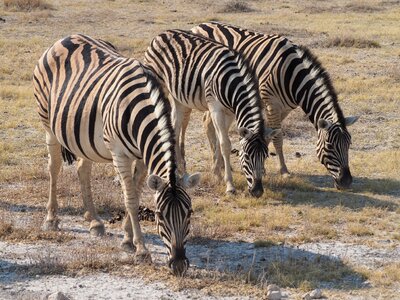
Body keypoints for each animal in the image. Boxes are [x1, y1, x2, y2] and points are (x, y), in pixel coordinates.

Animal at [32, 34, 200, 276]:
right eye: (159, 215)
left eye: (190, 213)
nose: (178, 265)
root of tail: (64, 38)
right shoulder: (119, 154)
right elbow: (130, 199)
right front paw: (141, 250)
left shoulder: (142, 156)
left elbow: (136, 194)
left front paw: (128, 239)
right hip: (48, 125)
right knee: (54, 169)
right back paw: (51, 219)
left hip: (83, 138)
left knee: (83, 169)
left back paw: (94, 222)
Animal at [143, 28, 278, 197]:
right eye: (246, 156)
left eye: (265, 156)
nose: (258, 191)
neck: (232, 83)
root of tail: (161, 34)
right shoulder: (215, 107)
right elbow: (225, 143)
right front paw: (229, 185)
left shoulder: (230, 112)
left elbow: (220, 141)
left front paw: (217, 174)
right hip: (159, 85)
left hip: (178, 98)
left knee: (175, 126)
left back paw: (180, 171)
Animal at [191, 22, 360, 189]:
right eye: (330, 146)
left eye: (349, 144)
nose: (346, 182)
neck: (292, 76)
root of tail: (201, 24)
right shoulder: (271, 104)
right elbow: (278, 138)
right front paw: (284, 171)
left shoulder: (284, 108)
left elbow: (269, 135)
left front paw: (262, 168)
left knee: (208, 123)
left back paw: (221, 166)